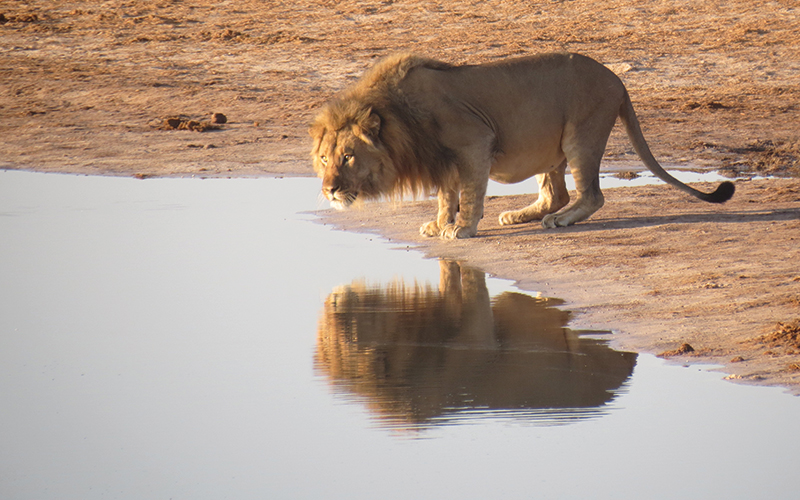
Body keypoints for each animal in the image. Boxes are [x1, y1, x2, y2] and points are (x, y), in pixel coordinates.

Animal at [310, 51, 736, 239]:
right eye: (324, 158)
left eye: (348, 157)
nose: (329, 190)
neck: (399, 116)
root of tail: (618, 79)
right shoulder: (443, 159)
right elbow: (447, 195)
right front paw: (439, 223)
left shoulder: (474, 141)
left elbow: (470, 192)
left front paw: (461, 229)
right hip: (550, 147)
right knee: (556, 193)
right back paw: (519, 215)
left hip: (581, 135)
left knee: (591, 196)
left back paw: (559, 221)